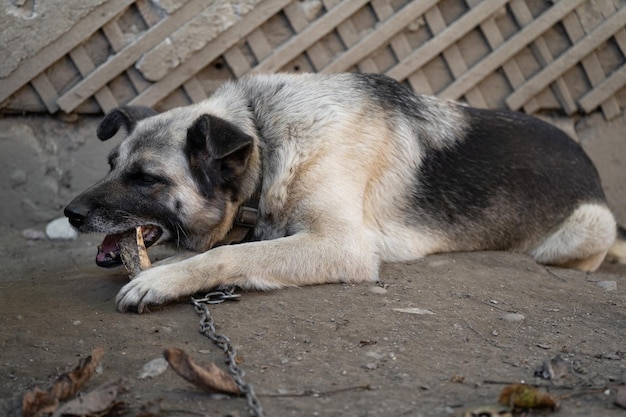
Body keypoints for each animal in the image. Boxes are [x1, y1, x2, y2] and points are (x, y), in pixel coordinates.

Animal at [64, 72, 624, 312]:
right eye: (113, 165)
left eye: (146, 178)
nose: (70, 213)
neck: (266, 137)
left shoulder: (341, 244)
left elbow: (230, 254)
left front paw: (161, 281)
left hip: (587, 226)